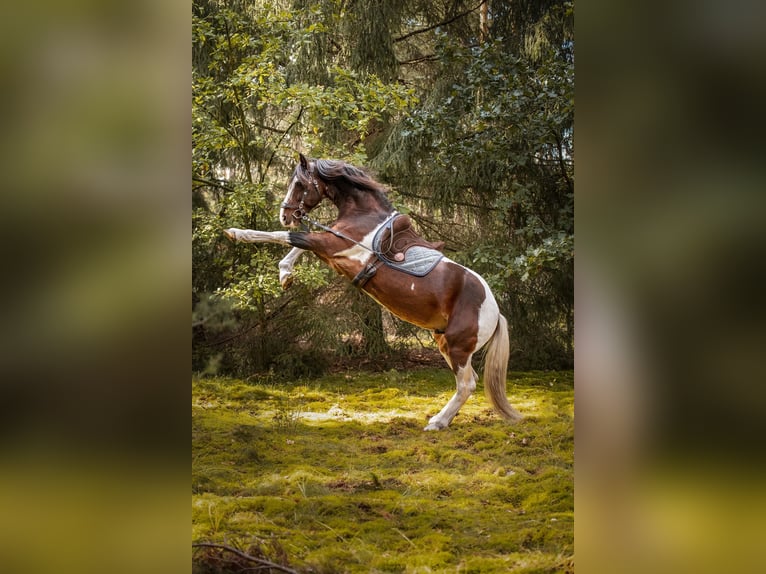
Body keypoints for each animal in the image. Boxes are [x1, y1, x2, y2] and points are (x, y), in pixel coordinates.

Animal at [224, 153, 522, 430]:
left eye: (299, 184)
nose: (285, 216)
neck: (363, 215)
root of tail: (495, 311)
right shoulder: (330, 247)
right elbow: (297, 244)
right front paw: (285, 275)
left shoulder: (333, 246)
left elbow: (288, 238)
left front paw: (236, 233)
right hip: (444, 342)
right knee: (468, 381)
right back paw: (441, 420)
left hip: (458, 346)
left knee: (467, 384)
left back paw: (437, 422)